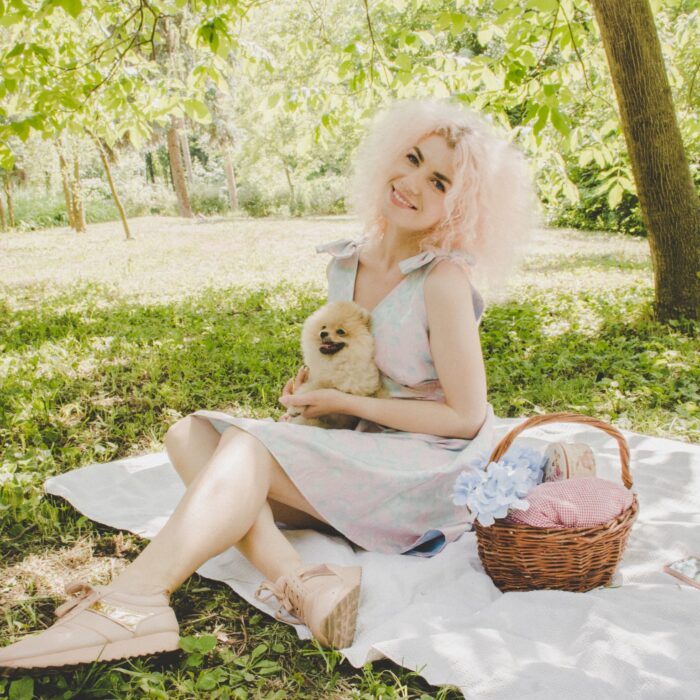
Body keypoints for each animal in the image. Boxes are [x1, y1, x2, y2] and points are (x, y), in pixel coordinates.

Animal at [284, 302, 382, 430]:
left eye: (340, 331)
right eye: (323, 327)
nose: (323, 333)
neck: (336, 362)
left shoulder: (361, 385)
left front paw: (295, 406)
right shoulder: (318, 379)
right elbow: (310, 387)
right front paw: (295, 407)